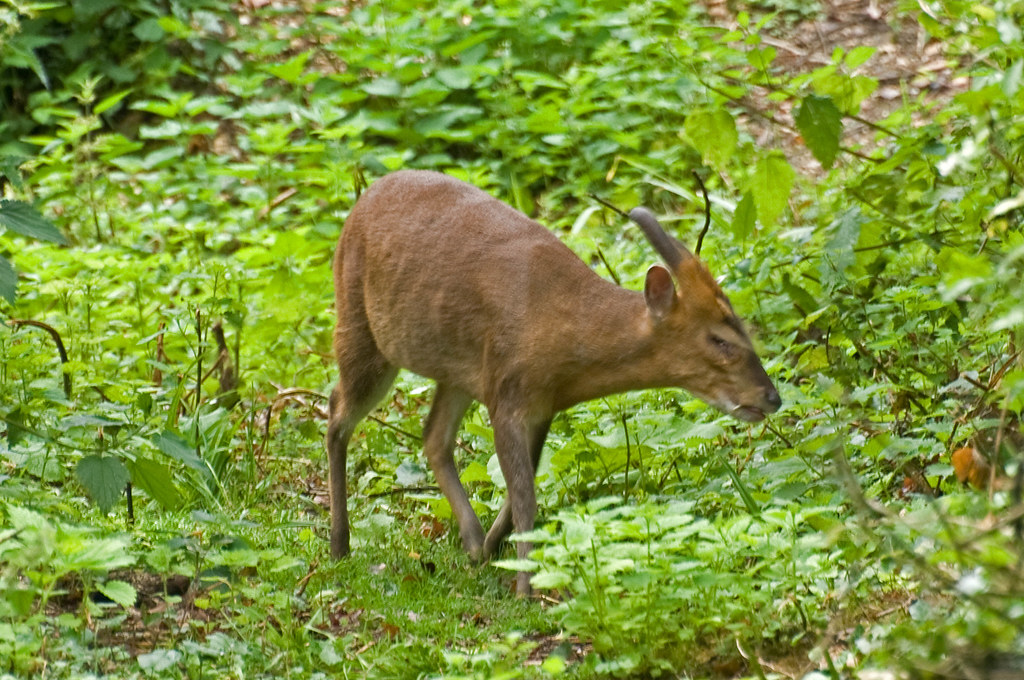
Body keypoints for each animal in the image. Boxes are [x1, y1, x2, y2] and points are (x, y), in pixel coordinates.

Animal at [326, 170, 781, 595]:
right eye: (720, 339)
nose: (772, 397)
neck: (563, 333)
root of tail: (360, 203)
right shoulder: (507, 394)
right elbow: (526, 496)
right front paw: (526, 589)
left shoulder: (541, 404)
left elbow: (517, 493)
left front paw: (498, 553)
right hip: (360, 326)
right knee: (336, 412)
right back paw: (340, 545)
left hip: (457, 373)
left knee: (433, 436)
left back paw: (473, 543)